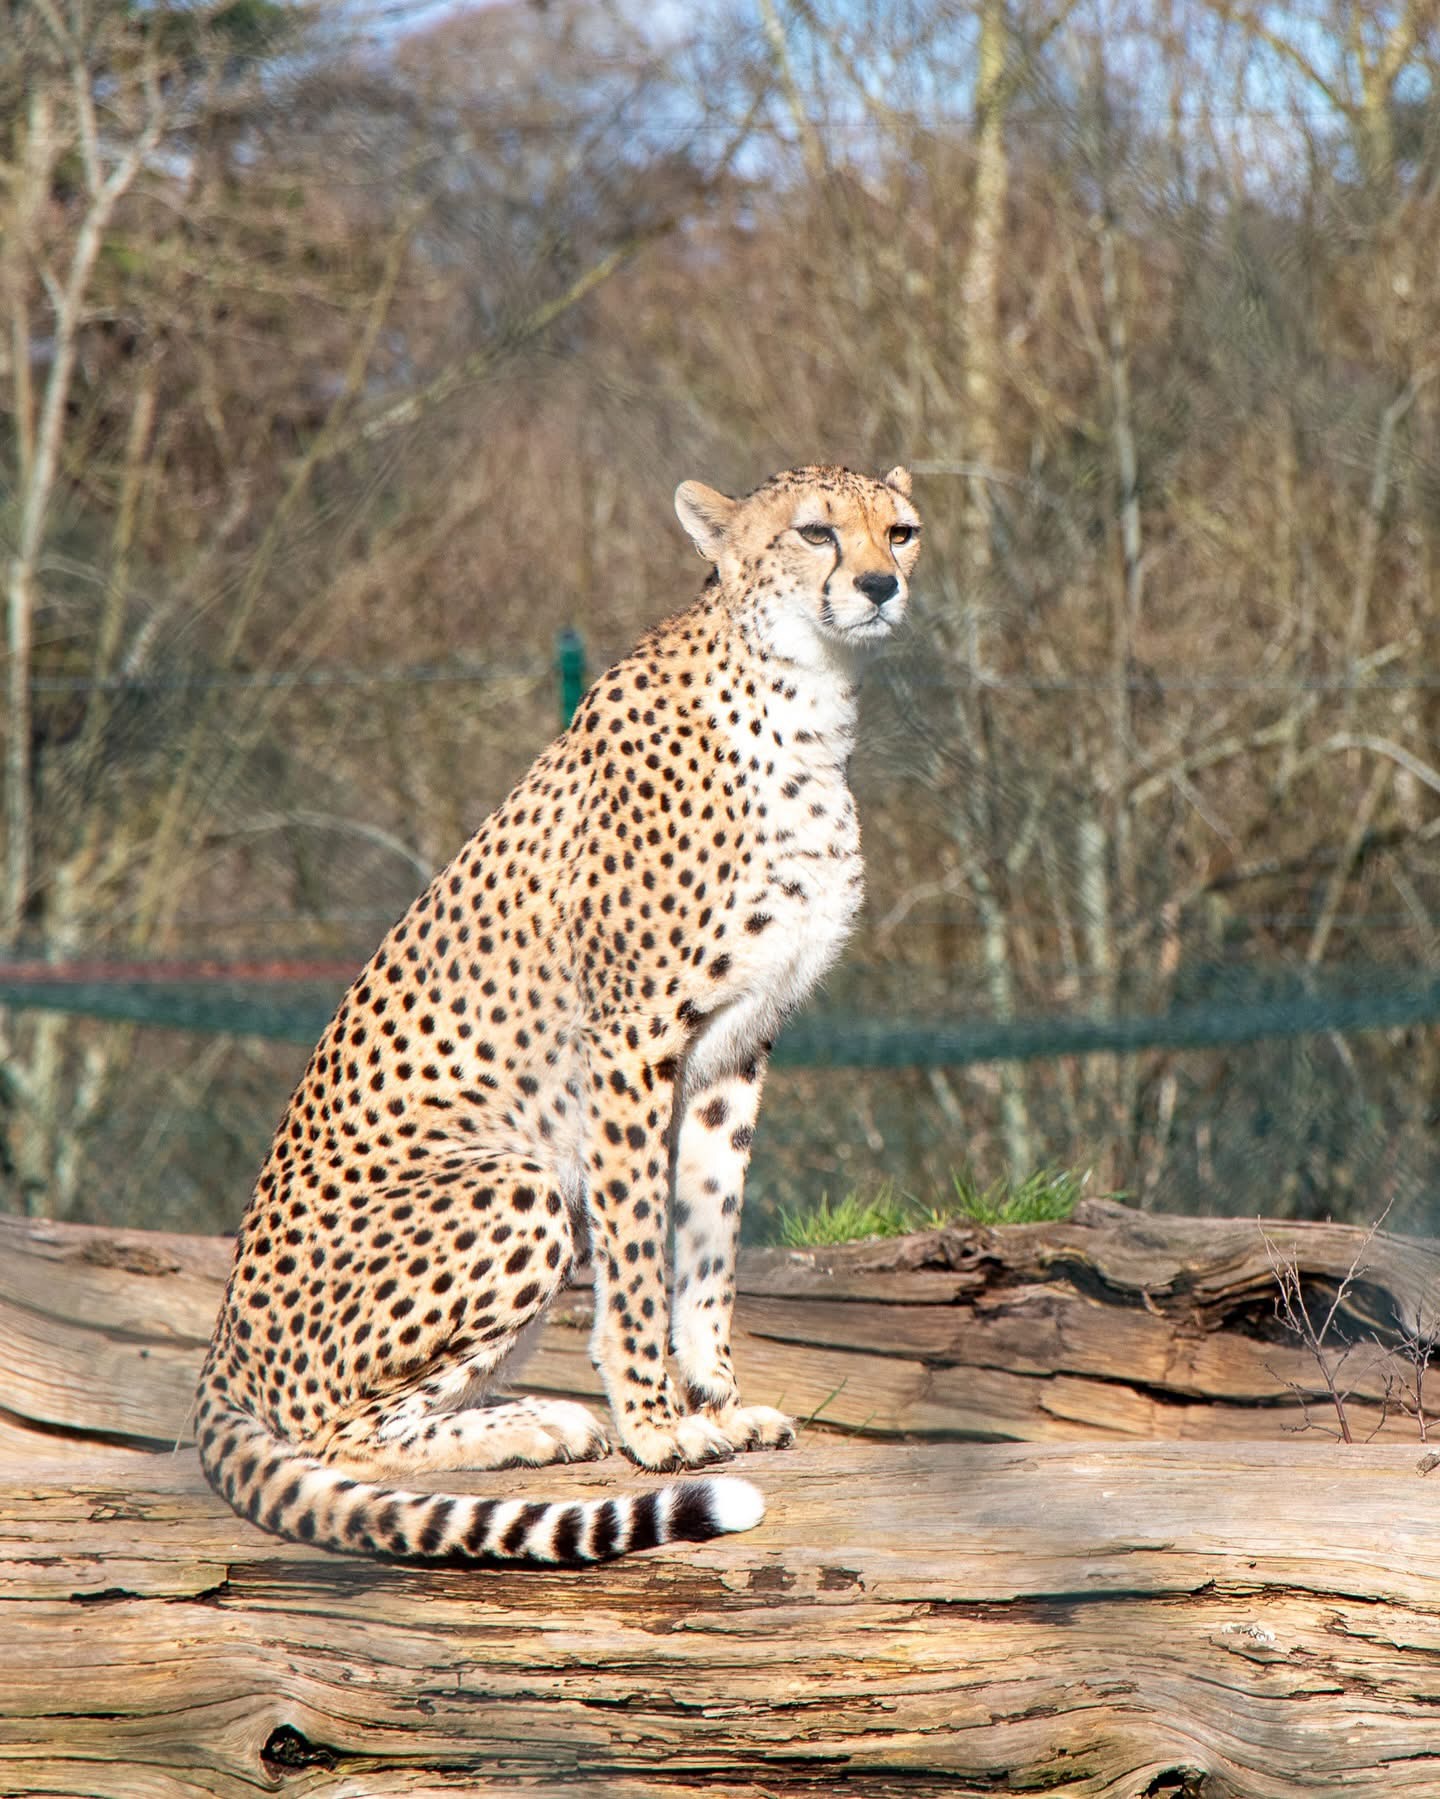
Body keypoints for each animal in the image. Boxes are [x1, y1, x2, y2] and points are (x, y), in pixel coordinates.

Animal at [195, 462, 922, 1564]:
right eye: (815, 533)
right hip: (519, 1182)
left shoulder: (736, 1048)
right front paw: (658, 1425)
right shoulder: (632, 1038)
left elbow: (707, 1238)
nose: (883, 585)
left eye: (903, 531)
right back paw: (534, 1424)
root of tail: (221, 1345)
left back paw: (535, 1416)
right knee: (336, 1430)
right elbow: (639, 1244)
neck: (804, 701)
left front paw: (717, 1397)